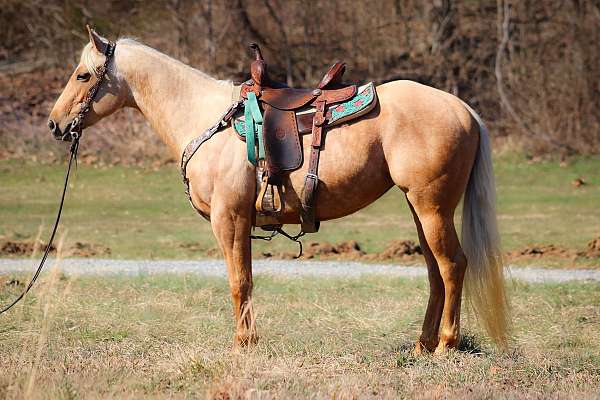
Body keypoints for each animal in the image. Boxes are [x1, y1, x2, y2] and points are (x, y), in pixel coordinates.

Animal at [49, 28, 508, 354]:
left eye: (83, 75)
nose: (55, 124)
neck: (205, 118)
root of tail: (462, 109)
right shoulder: (239, 222)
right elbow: (247, 279)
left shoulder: (229, 219)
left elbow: (239, 281)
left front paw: (243, 345)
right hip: (421, 209)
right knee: (434, 270)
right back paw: (422, 345)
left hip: (432, 208)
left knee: (452, 266)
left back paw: (446, 345)